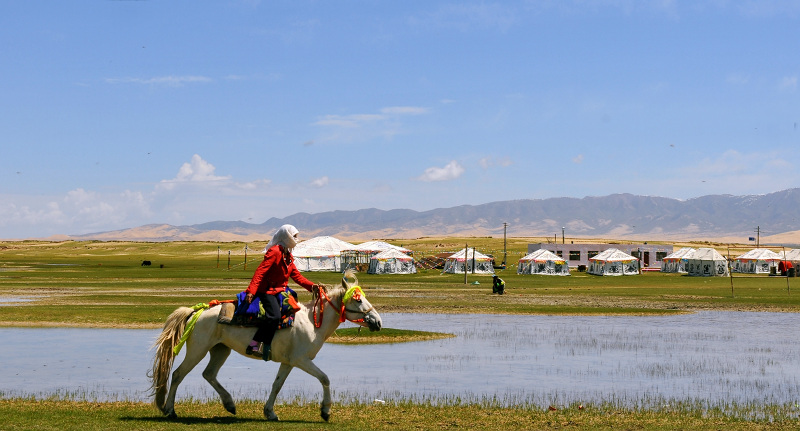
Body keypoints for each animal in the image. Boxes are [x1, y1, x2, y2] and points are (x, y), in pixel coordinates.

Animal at [149, 270, 382, 422]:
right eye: (358, 300)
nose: (378, 322)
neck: (312, 321)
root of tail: (199, 311)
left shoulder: (288, 362)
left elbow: (276, 385)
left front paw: (270, 412)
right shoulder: (301, 360)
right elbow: (325, 378)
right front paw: (325, 411)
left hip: (221, 349)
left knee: (209, 374)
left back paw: (230, 404)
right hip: (198, 350)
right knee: (178, 374)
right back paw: (170, 410)